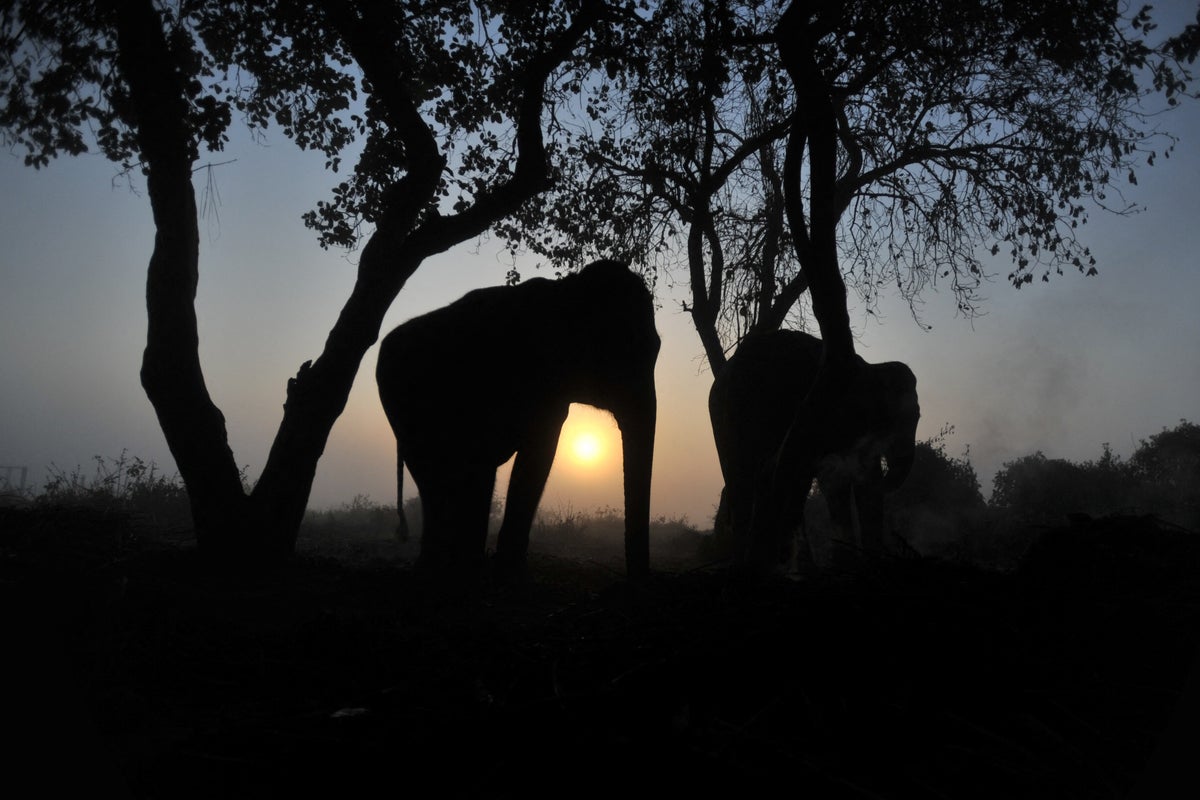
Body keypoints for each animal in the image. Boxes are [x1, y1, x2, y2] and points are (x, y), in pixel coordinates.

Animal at [376, 259, 660, 580]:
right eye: (622, 347)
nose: (642, 578)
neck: (564, 291)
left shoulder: (551, 394)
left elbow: (540, 451)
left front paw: (501, 567)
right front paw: (497, 570)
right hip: (401, 408)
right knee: (434, 473)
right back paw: (437, 566)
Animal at [708, 329, 919, 572]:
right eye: (895, 421)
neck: (871, 367)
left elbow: (843, 479)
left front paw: (852, 560)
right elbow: (847, 477)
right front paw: (862, 562)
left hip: (723, 417)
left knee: (739, 477)